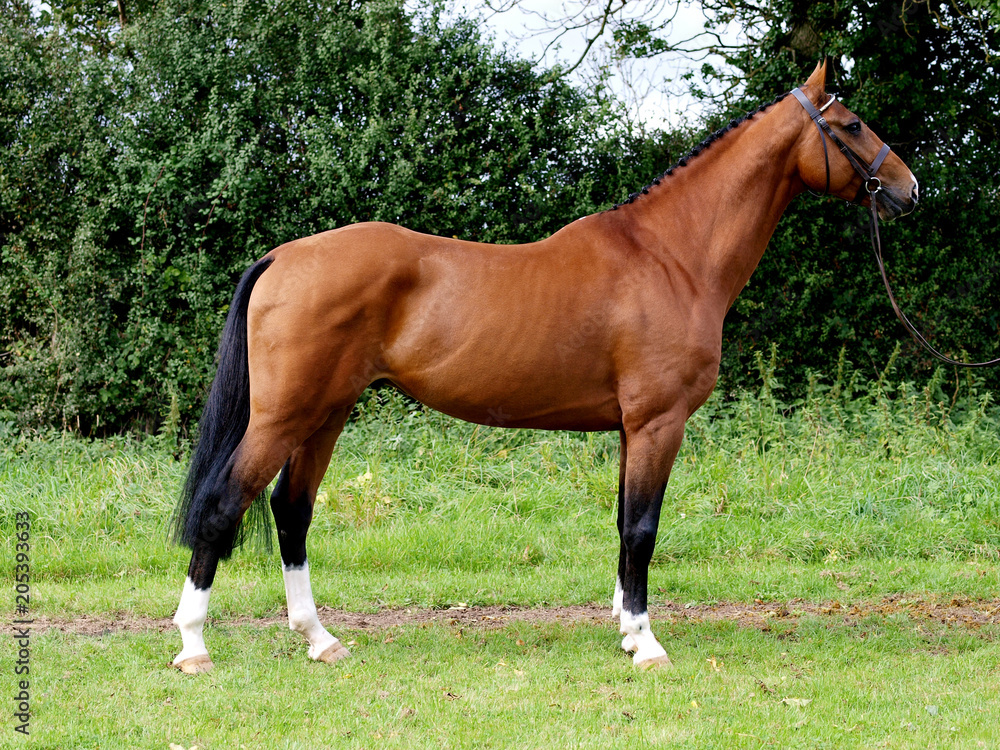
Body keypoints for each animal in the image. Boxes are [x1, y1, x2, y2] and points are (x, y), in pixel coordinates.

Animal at [169, 61, 918, 673]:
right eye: (851, 124)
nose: (908, 188)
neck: (671, 256)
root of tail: (283, 256)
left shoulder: (631, 429)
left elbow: (623, 524)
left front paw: (626, 631)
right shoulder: (658, 422)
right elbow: (643, 530)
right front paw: (647, 644)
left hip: (326, 413)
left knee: (292, 512)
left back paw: (320, 639)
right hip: (285, 416)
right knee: (223, 506)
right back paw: (194, 645)